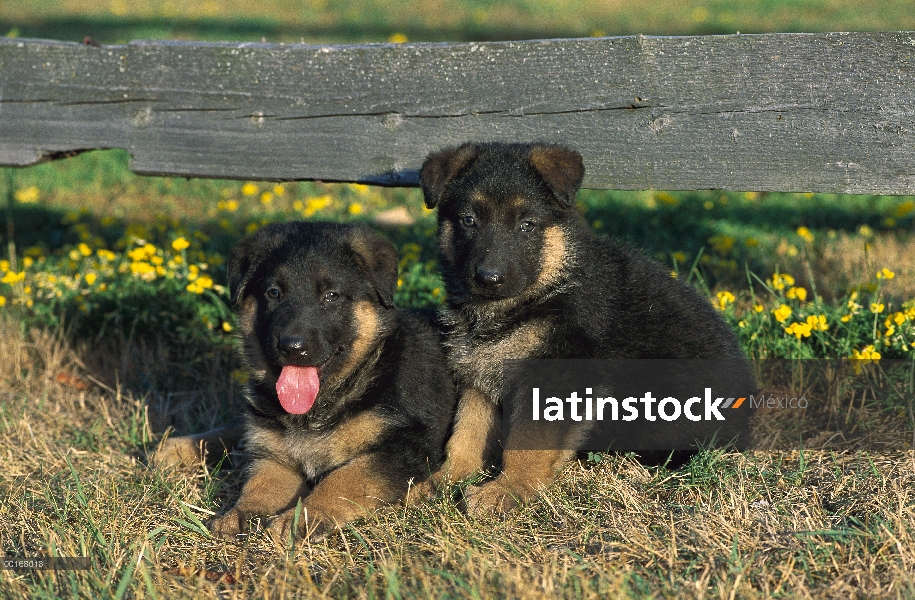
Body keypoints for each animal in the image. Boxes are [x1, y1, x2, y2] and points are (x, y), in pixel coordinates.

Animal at [168, 220, 454, 540]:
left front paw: (304, 516)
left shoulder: (407, 447)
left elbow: (346, 477)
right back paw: (176, 448)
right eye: (274, 293)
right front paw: (240, 513)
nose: (292, 347)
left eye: (331, 296)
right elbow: (261, 483)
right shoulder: (275, 453)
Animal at [418, 142, 756, 516]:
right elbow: (465, 435)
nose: (489, 278)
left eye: (527, 226)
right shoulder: (478, 373)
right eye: (468, 221)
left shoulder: (555, 376)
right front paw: (443, 481)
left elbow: (525, 442)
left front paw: (510, 489)